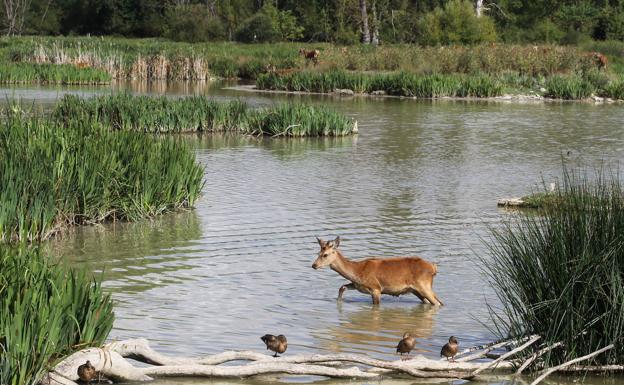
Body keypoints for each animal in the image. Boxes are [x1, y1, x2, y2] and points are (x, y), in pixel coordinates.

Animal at [310, 236, 442, 304]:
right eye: (318, 253)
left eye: (325, 254)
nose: (314, 265)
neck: (357, 272)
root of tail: (434, 268)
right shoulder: (357, 285)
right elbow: (342, 287)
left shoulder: (376, 289)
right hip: (416, 290)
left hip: (423, 285)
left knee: (438, 303)